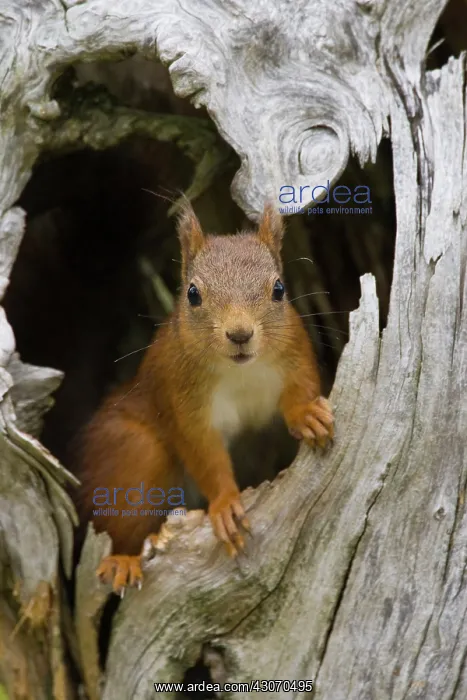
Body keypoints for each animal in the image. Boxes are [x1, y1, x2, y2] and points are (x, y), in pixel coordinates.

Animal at [73, 202, 334, 594]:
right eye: (193, 294)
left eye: (279, 289)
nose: (240, 334)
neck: (239, 372)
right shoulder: (181, 397)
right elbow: (203, 453)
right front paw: (225, 504)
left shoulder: (295, 349)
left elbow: (301, 386)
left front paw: (308, 414)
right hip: (132, 450)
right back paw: (123, 559)